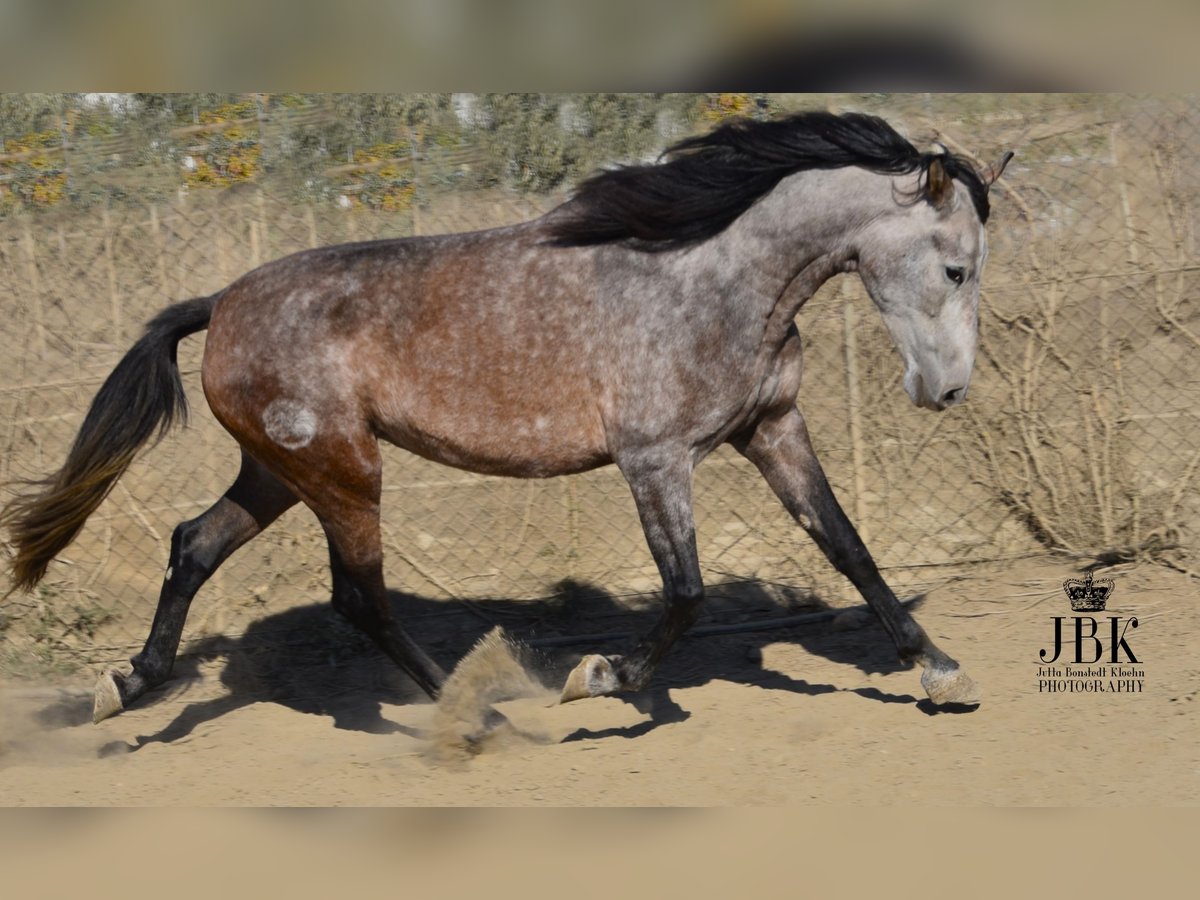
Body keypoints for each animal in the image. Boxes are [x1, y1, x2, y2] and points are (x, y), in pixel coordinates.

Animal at [2, 111, 1012, 724]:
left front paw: (942, 671)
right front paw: (598, 678)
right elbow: (685, 590)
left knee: (195, 546)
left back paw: (127, 684)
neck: (712, 281)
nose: (946, 392)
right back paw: (484, 706)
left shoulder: (772, 429)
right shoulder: (655, 458)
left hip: (282, 472)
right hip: (344, 470)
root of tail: (219, 303)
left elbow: (847, 546)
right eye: (955, 266)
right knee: (357, 597)